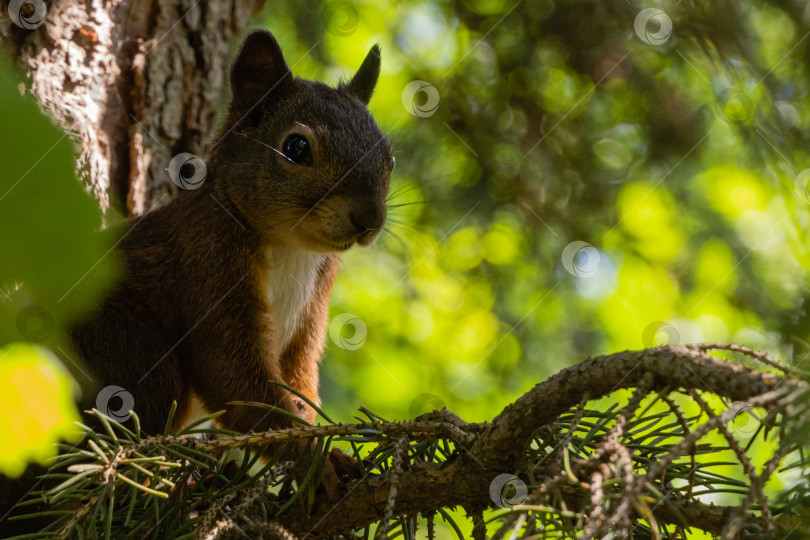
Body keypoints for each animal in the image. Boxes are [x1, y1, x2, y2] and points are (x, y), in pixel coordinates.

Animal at [0, 28, 392, 532]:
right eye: (296, 148)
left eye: (389, 156)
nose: (370, 218)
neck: (291, 248)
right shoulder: (205, 263)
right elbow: (235, 380)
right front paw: (314, 458)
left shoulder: (311, 311)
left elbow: (299, 386)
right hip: (123, 353)